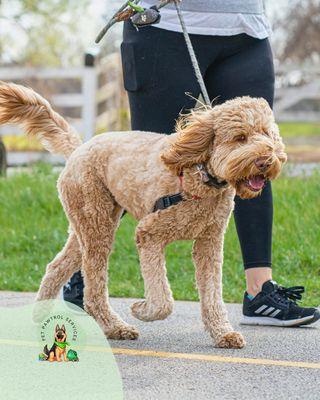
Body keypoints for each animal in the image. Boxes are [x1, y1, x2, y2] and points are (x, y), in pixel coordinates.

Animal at [0, 83, 286, 348]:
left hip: (90, 225)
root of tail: (78, 150)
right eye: (240, 137)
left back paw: (41, 312)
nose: (266, 161)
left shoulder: (209, 243)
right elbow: (162, 300)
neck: (199, 174)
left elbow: (212, 294)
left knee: (57, 266)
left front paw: (222, 333)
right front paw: (142, 309)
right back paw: (115, 327)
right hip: (96, 225)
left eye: (266, 134)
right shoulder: (149, 234)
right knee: (94, 290)